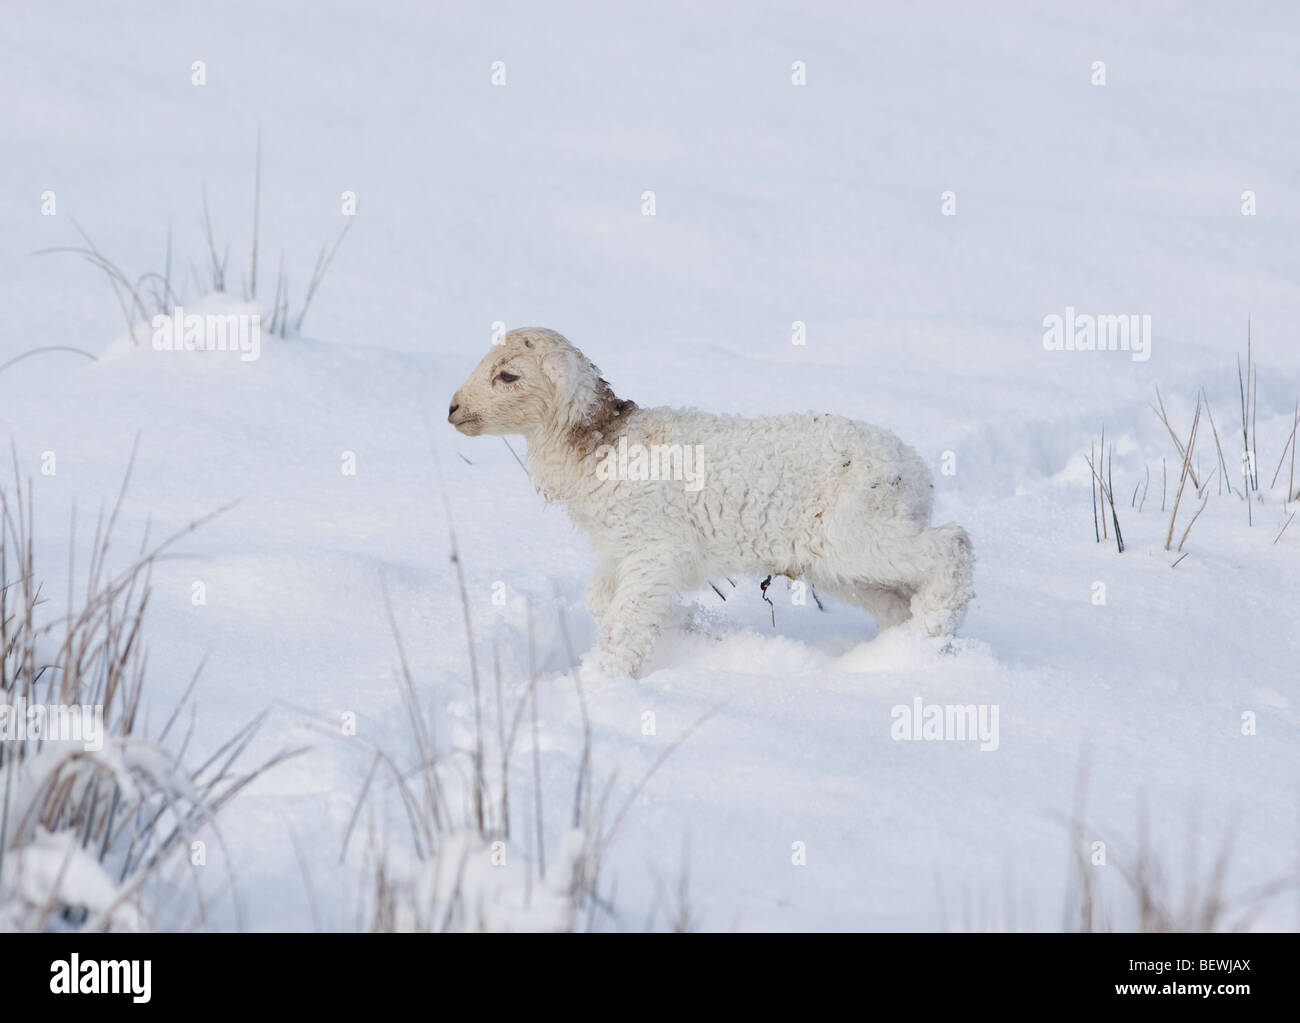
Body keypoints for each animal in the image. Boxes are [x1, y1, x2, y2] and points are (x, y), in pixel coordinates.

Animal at [452, 327, 972, 681]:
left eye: (508, 375)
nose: (452, 409)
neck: (600, 441)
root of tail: (916, 473)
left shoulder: (653, 549)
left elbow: (627, 615)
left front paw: (609, 679)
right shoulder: (619, 549)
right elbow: (599, 598)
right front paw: (683, 626)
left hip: (860, 532)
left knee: (952, 546)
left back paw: (934, 624)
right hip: (839, 563)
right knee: (896, 598)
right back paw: (903, 649)